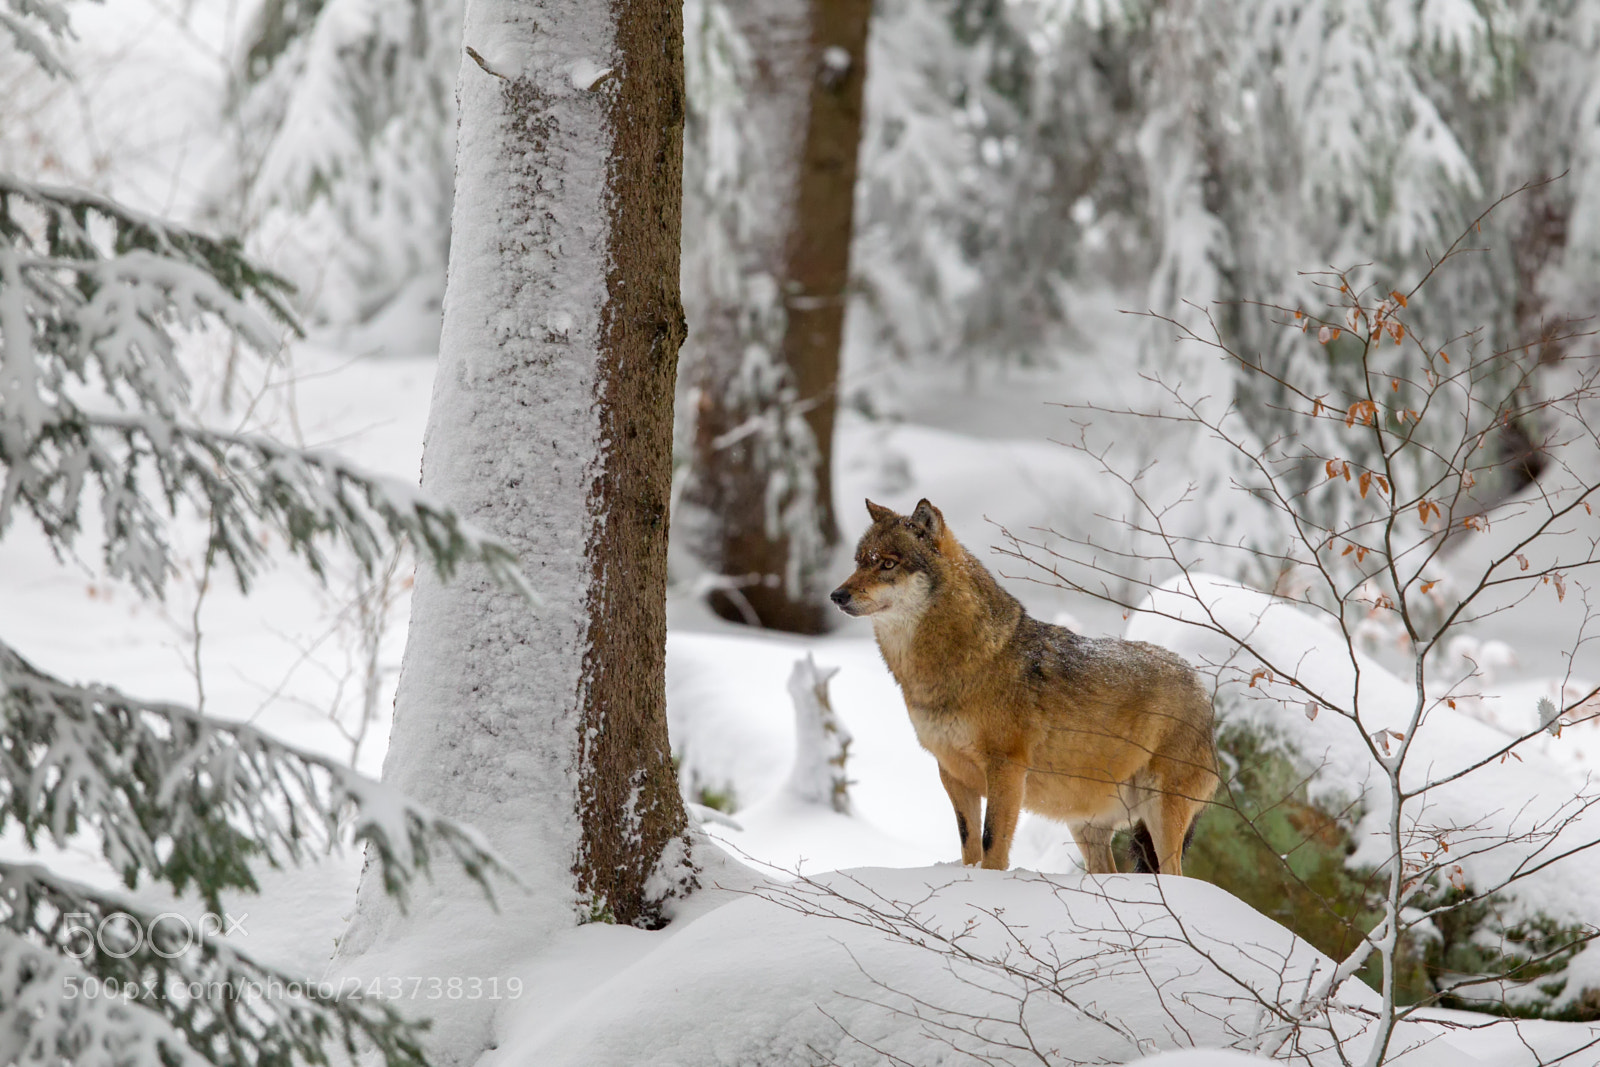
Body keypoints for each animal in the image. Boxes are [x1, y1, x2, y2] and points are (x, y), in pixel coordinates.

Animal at [830, 498, 1218, 875]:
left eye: (888, 564)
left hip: (1158, 815)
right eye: (860, 562)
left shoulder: (1006, 768)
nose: (836, 595)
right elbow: (969, 843)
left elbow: (992, 844)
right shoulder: (952, 772)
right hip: (1086, 825)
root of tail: (1203, 690)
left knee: (1176, 875)